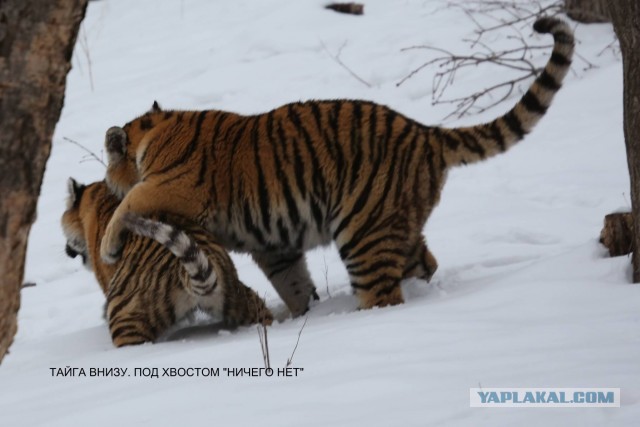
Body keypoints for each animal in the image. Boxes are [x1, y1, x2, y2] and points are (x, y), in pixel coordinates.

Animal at [97, 16, 572, 316]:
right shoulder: (274, 244)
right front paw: (304, 315)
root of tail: (425, 132)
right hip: (397, 224)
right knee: (424, 261)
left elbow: (130, 203)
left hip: (365, 232)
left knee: (383, 295)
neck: (154, 134)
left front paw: (108, 247)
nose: (104, 182)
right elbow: (292, 282)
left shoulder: (170, 185)